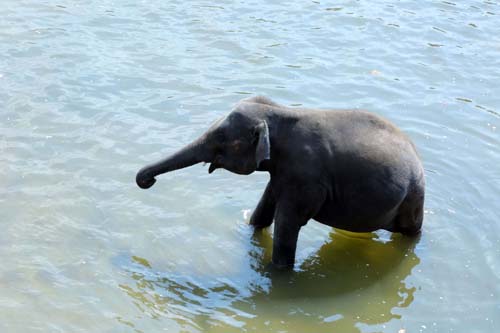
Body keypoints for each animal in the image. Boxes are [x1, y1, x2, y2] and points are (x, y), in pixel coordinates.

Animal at [137, 95, 426, 268]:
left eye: (221, 140)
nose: (146, 181)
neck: (278, 112)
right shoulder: (282, 174)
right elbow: (262, 213)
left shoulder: (305, 178)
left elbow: (287, 226)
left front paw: (276, 273)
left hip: (413, 197)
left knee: (411, 231)